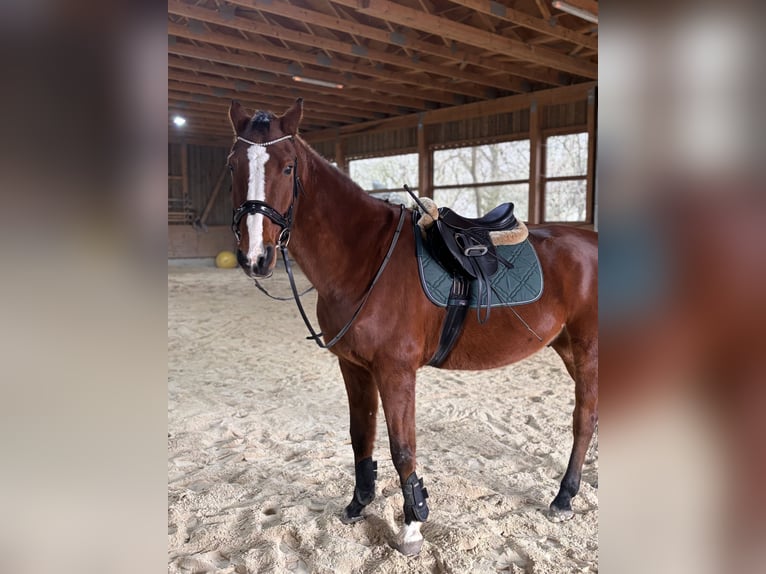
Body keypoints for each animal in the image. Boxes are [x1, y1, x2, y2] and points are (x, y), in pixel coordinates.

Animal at [225, 98, 598, 555]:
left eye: (287, 167)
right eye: (232, 165)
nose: (255, 258)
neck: (365, 258)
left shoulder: (395, 371)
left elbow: (403, 447)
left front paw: (412, 525)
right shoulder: (354, 366)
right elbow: (361, 433)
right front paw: (359, 503)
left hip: (587, 348)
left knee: (584, 418)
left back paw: (564, 496)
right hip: (566, 346)